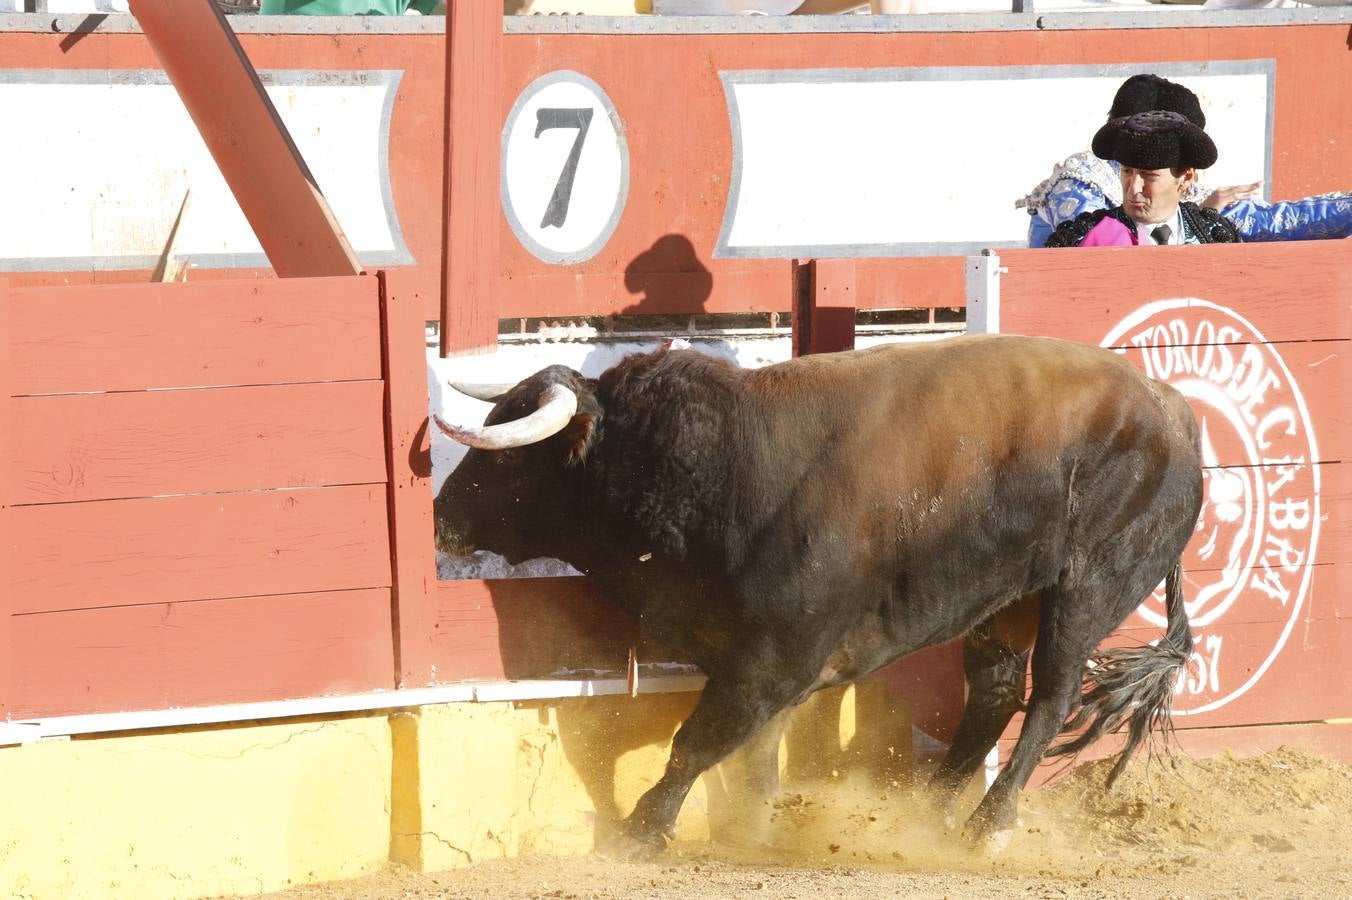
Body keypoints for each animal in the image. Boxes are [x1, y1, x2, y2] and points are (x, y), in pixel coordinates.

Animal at [427, 332, 1200, 854]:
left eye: (516, 457)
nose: (440, 516)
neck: (714, 467)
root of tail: (1172, 410)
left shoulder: (774, 660)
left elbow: (696, 743)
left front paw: (644, 831)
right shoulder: (753, 664)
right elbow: (751, 753)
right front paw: (752, 826)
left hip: (1085, 590)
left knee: (1050, 698)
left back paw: (990, 824)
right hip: (1009, 600)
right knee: (995, 692)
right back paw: (924, 814)